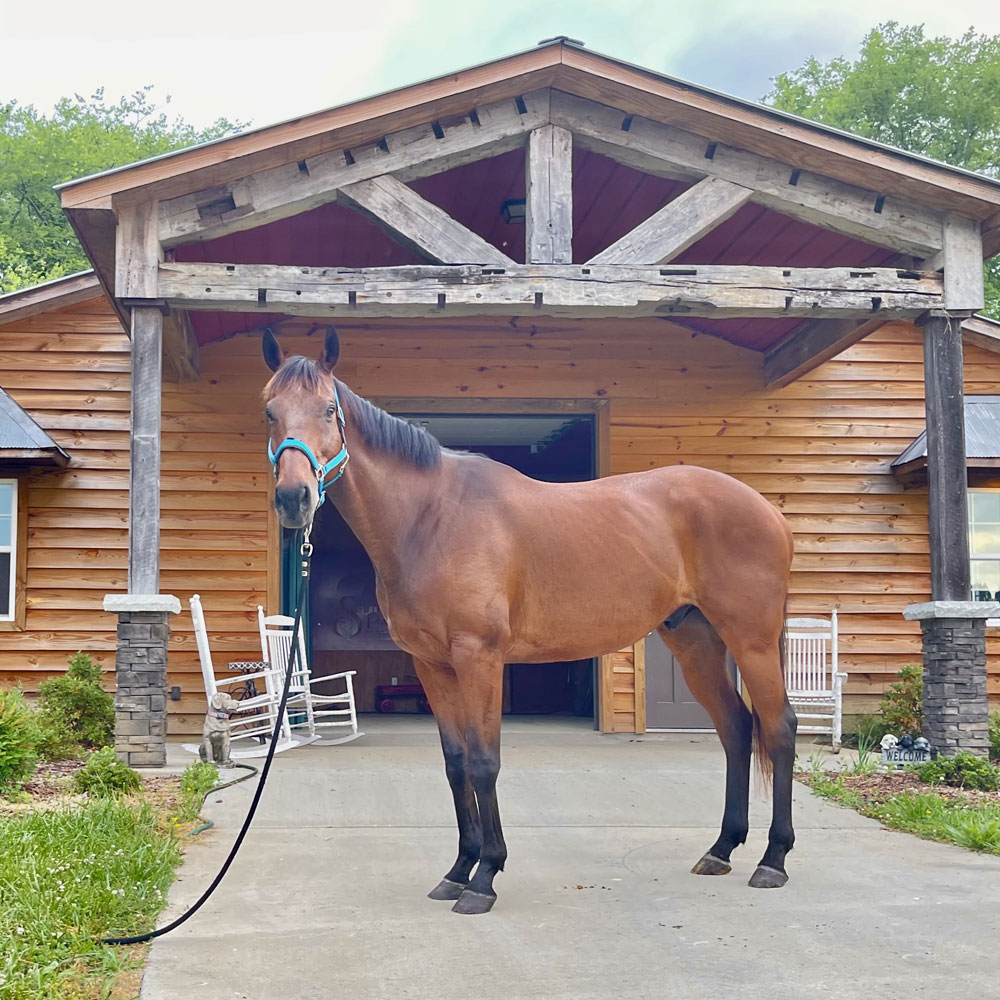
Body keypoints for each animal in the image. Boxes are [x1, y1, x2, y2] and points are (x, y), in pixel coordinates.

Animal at [264, 326, 796, 916]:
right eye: (269, 411)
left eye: (329, 409)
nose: (294, 499)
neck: (431, 518)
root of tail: (768, 511)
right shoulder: (431, 665)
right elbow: (455, 763)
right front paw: (457, 871)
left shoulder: (479, 657)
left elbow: (484, 761)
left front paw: (484, 878)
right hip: (696, 642)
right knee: (736, 728)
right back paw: (722, 849)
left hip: (751, 640)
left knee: (778, 728)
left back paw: (773, 860)